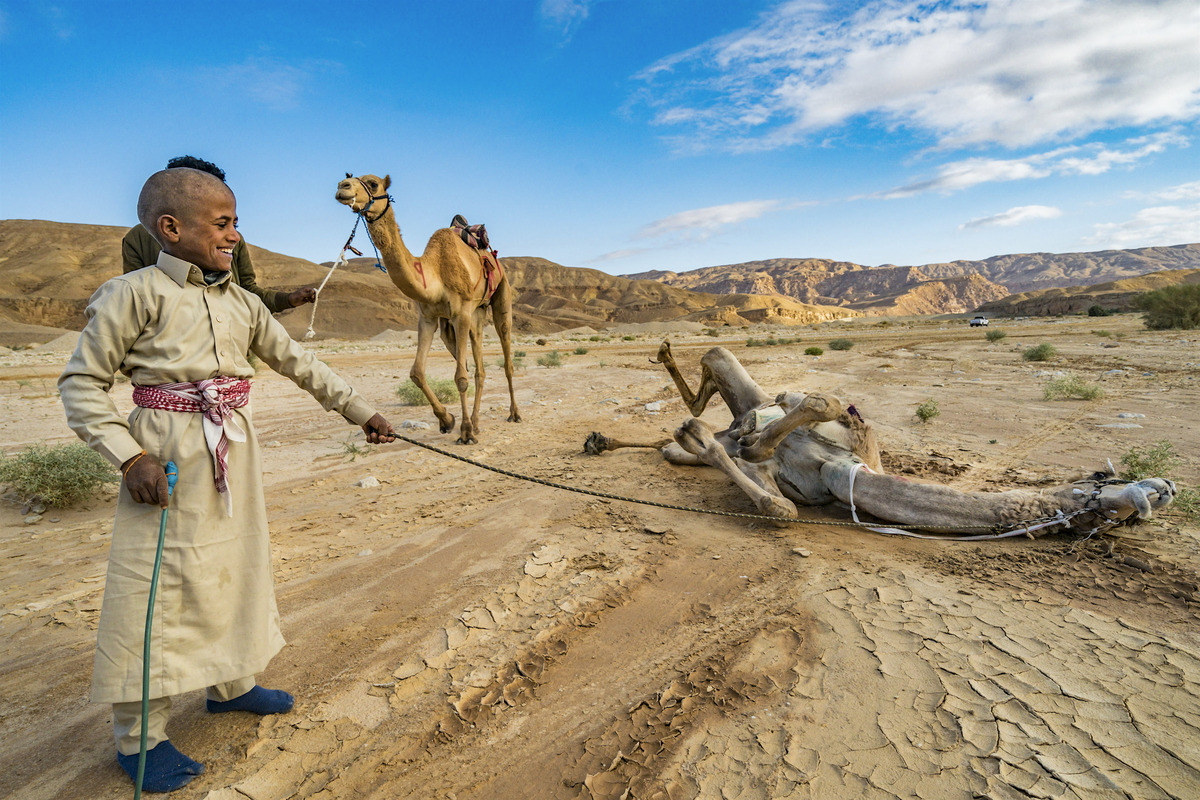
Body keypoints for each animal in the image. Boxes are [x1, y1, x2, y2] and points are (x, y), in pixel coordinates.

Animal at [335, 173, 519, 444]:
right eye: (349, 178)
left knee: (506, 358)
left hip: (501, 295)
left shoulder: (460, 313)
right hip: (473, 316)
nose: (342, 187)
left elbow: (460, 377)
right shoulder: (428, 318)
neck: (434, 272)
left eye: (373, 184)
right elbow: (417, 373)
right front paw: (448, 420)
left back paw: (513, 414)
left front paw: (464, 432)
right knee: (480, 367)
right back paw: (476, 423)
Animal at [584, 343, 1177, 536]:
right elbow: (814, 405)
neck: (844, 473)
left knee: (693, 425)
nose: (1167, 487)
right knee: (713, 367)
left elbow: (780, 503)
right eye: (1115, 486)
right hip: (735, 387)